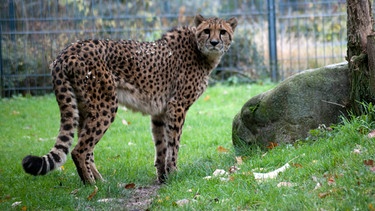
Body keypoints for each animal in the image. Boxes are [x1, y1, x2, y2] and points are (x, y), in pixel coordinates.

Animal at [21, 14, 238, 184]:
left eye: (223, 32)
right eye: (207, 31)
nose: (214, 43)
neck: (200, 51)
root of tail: (66, 51)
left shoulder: (160, 112)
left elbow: (161, 145)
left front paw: (163, 178)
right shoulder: (177, 106)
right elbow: (174, 143)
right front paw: (175, 173)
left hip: (85, 108)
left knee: (86, 147)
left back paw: (100, 181)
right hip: (106, 106)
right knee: (79, 150)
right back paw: (91, 185)